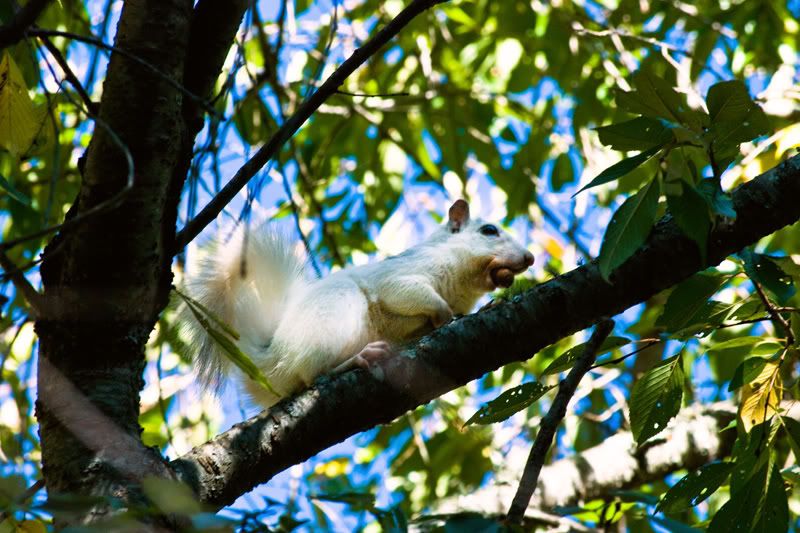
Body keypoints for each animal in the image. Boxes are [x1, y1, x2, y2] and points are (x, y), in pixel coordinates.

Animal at [184, 201, 536, 408]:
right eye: (489, 231)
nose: (530, 258)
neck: (463, 285)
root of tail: (272, 360)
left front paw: (482, 309)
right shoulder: (399, 278)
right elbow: (412, 296)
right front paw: (444, 315)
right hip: (333, 317)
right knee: (313, 375)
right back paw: (360, 358)